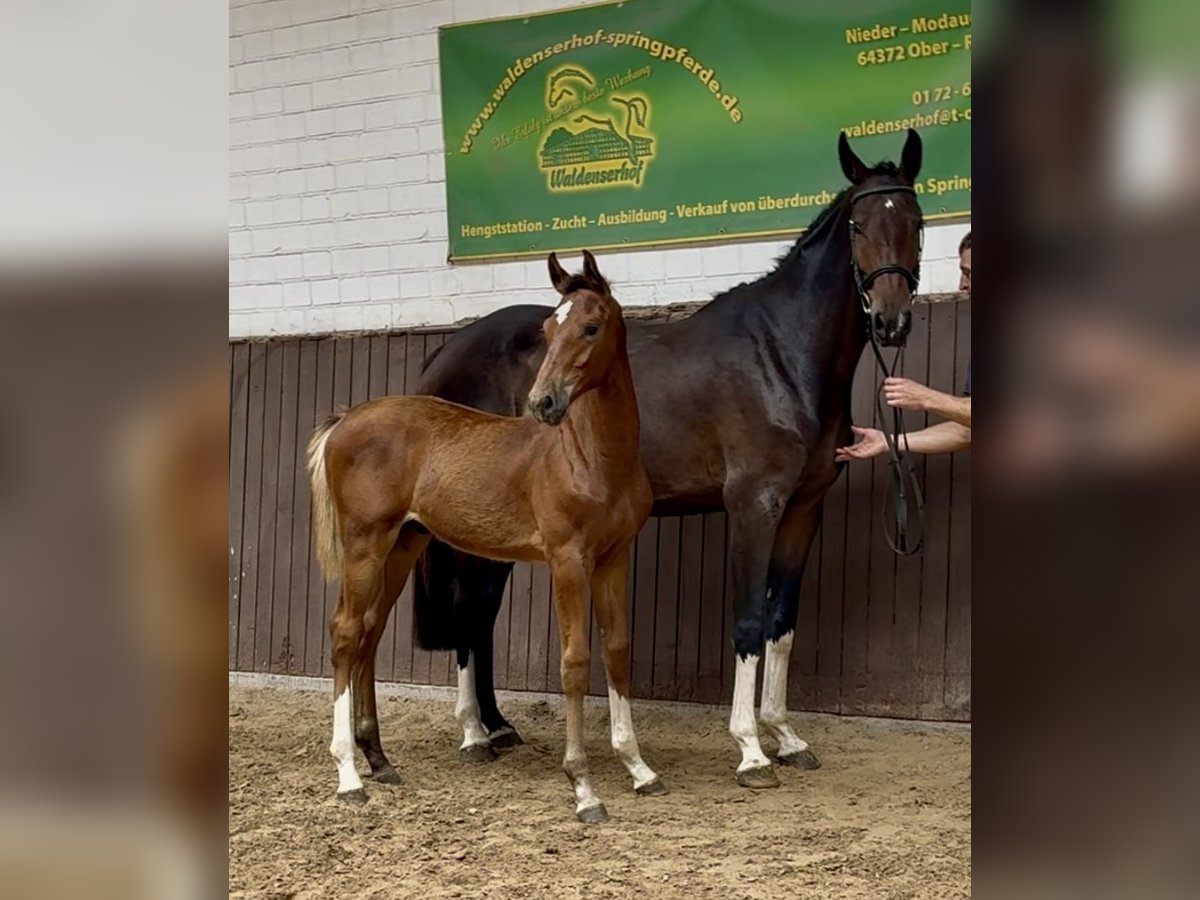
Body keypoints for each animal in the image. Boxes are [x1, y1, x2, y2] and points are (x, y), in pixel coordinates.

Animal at [306, 251, 662, 822]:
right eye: (547, 328)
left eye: (591, 326)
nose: (543, 402)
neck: (590, 458)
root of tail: (344, 421)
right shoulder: (567, 560)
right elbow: (575, 662)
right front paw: (583, 787)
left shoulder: (613, 558)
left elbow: (618, 650)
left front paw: (638, 768)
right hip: (365, 542)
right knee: (345, 632)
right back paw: (348, 775)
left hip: (403, 544)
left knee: (370, 631)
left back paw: (379, 760)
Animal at [412, 130, 926, 787]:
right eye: (859, 225)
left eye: (914, 220)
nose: (890, 320)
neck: (780, 355)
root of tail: (445, 352)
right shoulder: (754, 506)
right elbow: (748, 623)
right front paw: (750, 750)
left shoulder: (803, 508)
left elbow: (781, 623)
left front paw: (786, 737)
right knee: (469, 608)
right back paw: (475, 733)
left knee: (479, 611)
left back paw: (497, 727)